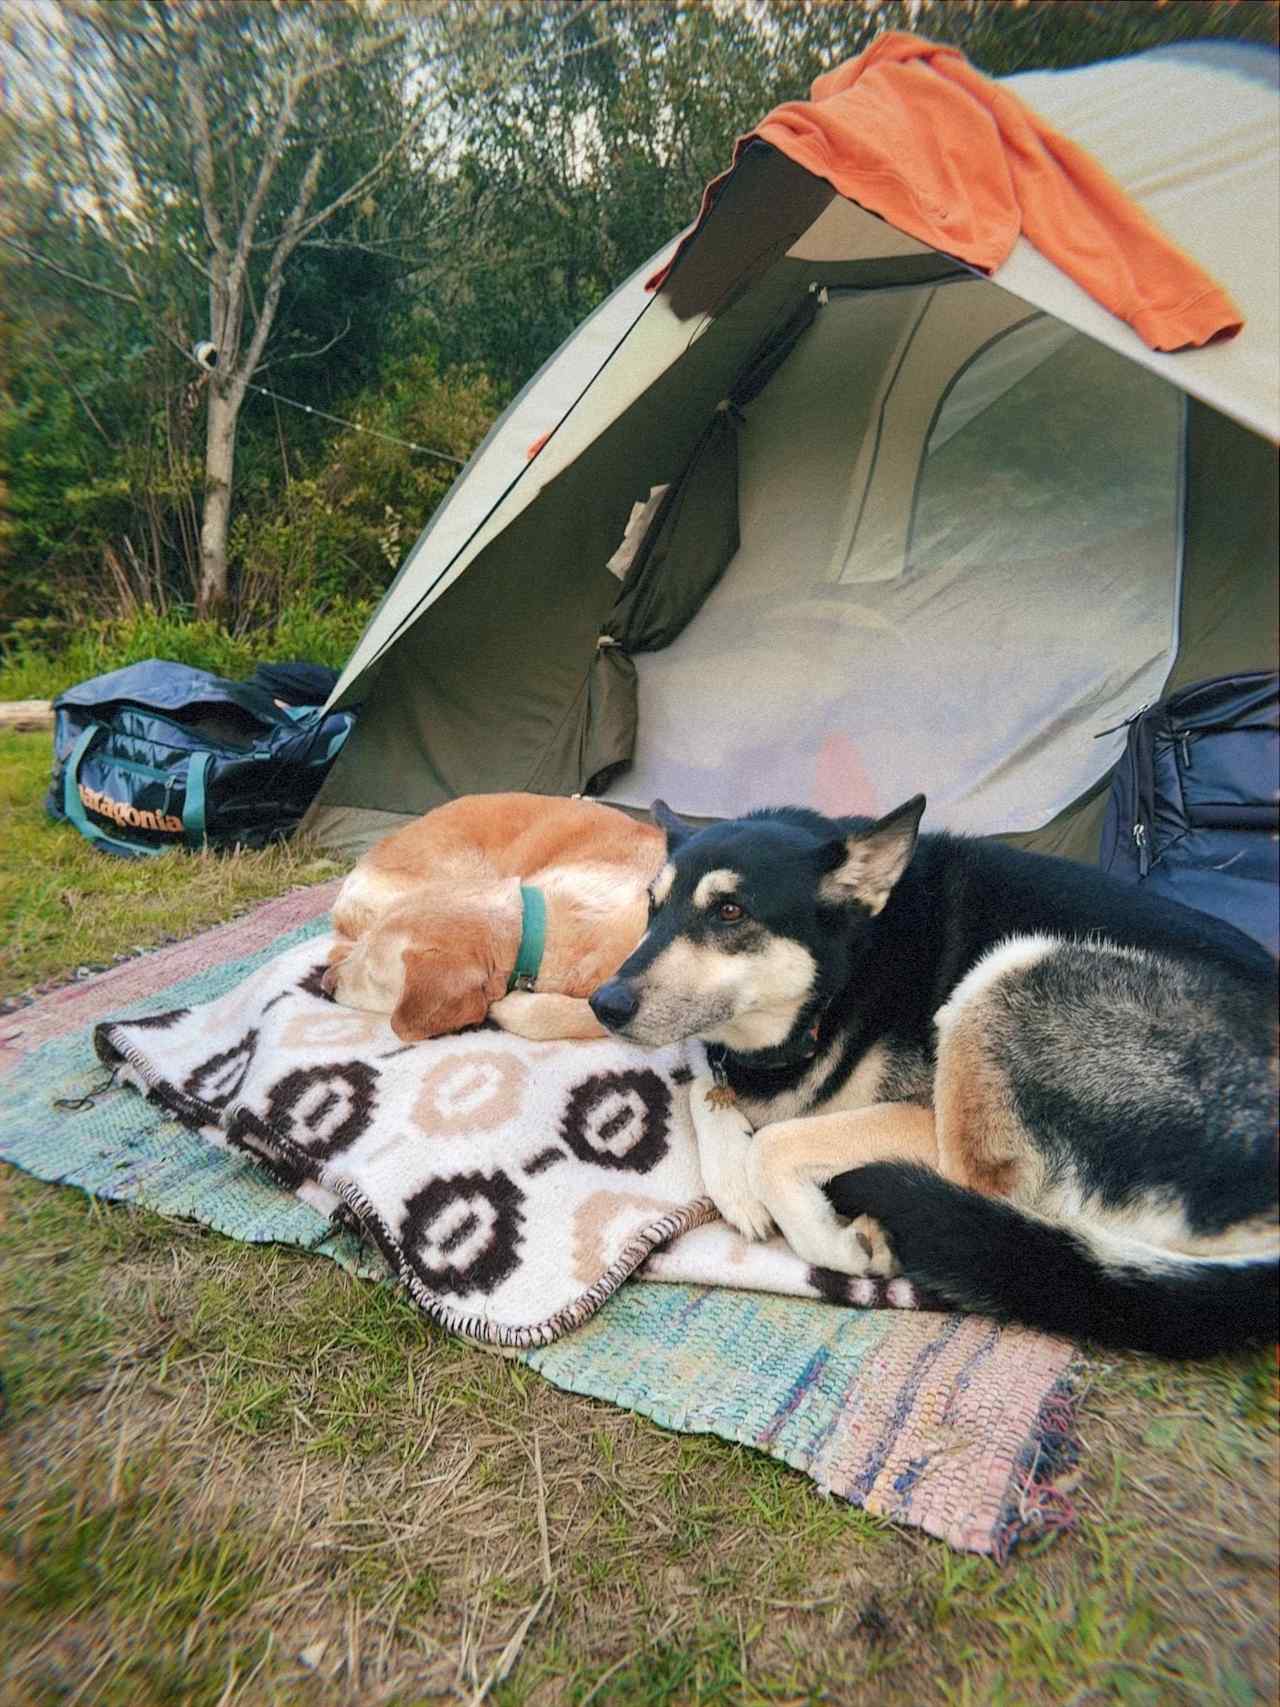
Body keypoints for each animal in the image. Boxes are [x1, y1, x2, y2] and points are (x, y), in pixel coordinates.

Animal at [587, 798, 1276, 1358]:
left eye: (729, 911)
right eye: (652, 908)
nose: (603, 1004)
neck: (846, 976)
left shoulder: (913, 1109)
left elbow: (775, 1142)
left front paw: (834, 1245)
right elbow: (703, 1082)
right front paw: (734, 1178)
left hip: (1010, 973)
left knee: (975, 1193)